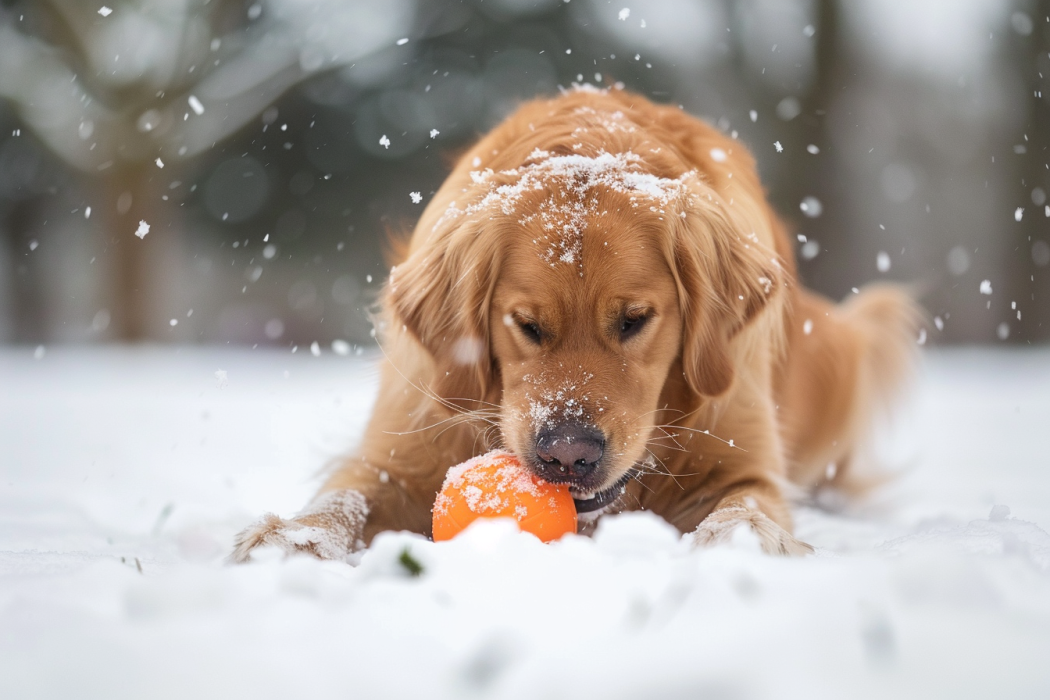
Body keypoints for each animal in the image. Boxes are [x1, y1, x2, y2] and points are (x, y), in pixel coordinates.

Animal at [232, 85, 919, 562]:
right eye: (525, 324)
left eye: (636, 320)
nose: (567, 456)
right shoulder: (399, 449)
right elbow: (343, 493)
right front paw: (293, 539)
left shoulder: (743, 457)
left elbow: (748, 503)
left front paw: (741, 542)